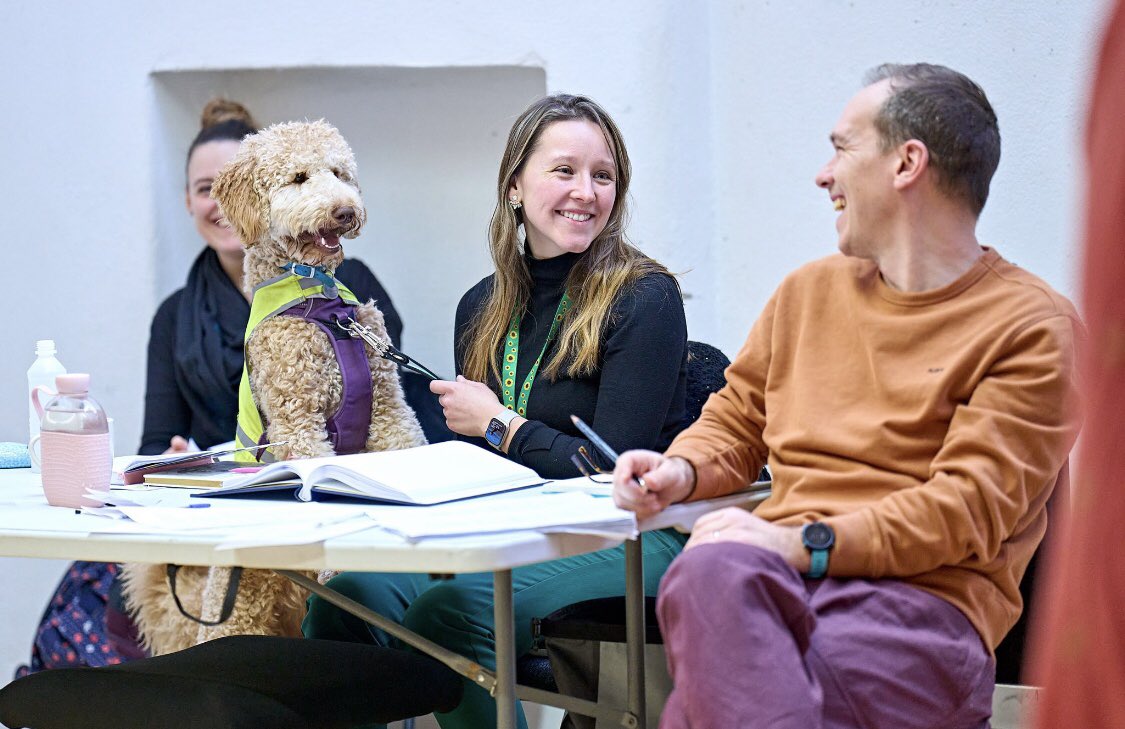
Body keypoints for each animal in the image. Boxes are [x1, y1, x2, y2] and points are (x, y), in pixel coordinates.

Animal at [120, 119, 423, 657]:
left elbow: (402, 441)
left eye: (339, 173)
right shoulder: (296, 418)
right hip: (238, 611)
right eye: (298, 177)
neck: (320, 302)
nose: (345, 210)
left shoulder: (388, 405)